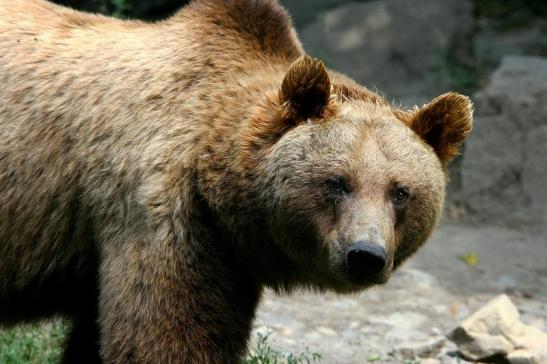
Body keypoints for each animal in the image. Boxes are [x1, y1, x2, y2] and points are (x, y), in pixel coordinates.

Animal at [0, 0, 470, 362]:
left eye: (400, 191)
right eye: (337, 182)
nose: (365, 255)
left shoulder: (225, 258)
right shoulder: (167, 216)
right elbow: (170, 333)